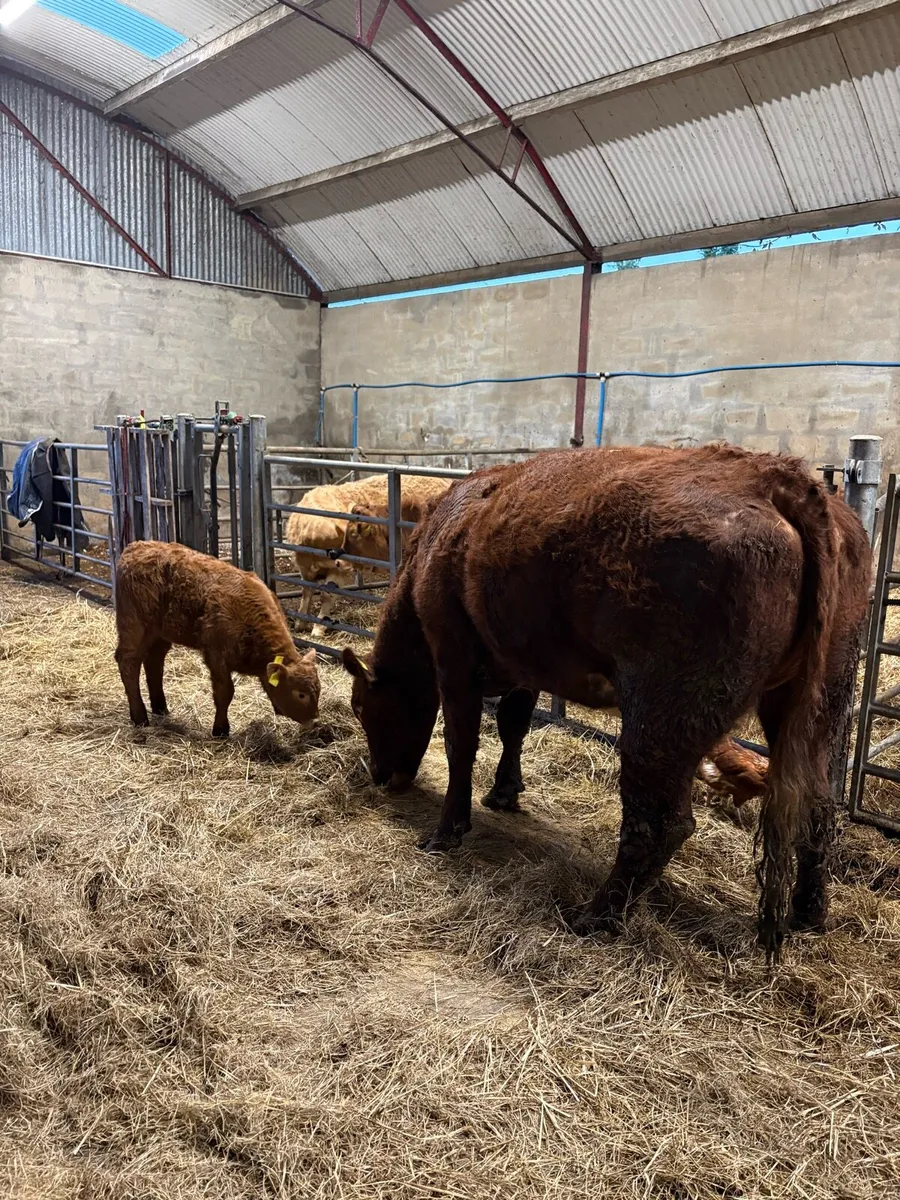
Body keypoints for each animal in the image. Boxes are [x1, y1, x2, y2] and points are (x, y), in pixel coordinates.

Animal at [115, 541, 319, 738]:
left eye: (318, 690)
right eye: (301, 694)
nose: (316, 722)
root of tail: (135, 547)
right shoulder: (216, 656)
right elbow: (224, 693)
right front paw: (220, 730)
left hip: (160, 634)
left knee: (154, 663)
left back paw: (160, 708)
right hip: (135, 628)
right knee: (129, 663)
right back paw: (140, 717)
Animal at [285, 474, 450, 632]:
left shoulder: (337, 572)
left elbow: (327, 594)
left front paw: (318, 628)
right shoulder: (305, 569)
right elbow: (306, 592)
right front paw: (301, 622)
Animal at [342, 445, 870, 960]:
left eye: (362, 707)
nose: (381, 776)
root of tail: (776, 478)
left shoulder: (453, 658)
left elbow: (460, 746)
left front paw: (446, 831)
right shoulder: (523, 665)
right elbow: (514, 725)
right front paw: (505, 792)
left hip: (663, 713)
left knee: (660, 822)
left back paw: (595, 916)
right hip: (817, 704)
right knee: (819, 806)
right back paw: (808, 913)